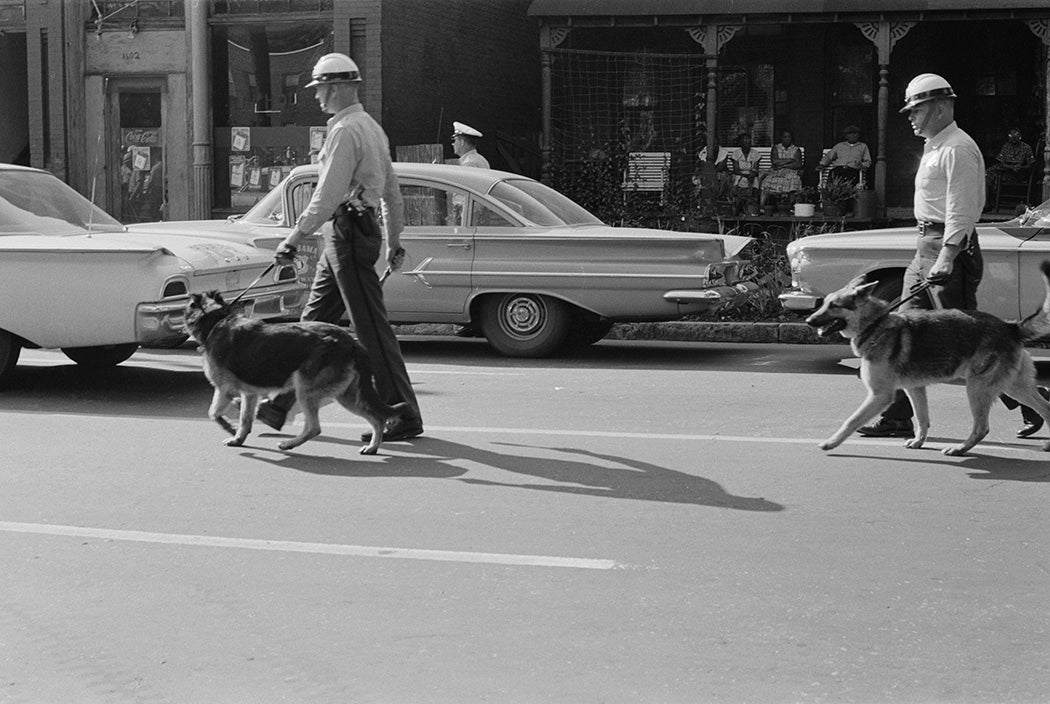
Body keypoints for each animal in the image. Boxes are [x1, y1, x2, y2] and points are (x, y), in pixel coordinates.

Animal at [184, 292, 405, 458]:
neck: (217, 319)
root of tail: (351, 342)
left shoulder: (224, 390)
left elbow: (213, 413)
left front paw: (229, 427)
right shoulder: (249, 394)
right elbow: (245, 419)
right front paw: (238, 438)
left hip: (306, 390)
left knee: (314, 428)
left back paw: (289, 444)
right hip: (346, 395)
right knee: (377, 418)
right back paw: (373, 447)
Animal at [810, 261, 1050, 456]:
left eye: (834, 305)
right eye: (825, 303)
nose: (809, 320)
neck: (875, 324)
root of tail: (1010, 327)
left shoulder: (880, 395)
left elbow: (851, 420)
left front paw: (831, 443)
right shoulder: (914, 389)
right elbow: (922, 419)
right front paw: (918, 441)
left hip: (977, 388)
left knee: (982, 428)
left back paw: (960, 449)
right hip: (1012, 387)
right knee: (1045, 407)